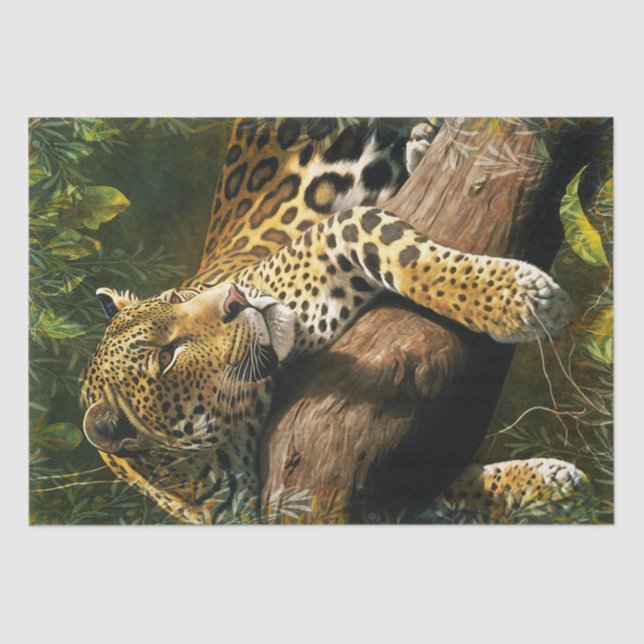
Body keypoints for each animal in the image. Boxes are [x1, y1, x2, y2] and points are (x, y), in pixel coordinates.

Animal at [79, 117, 590, 524]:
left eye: (178, 295)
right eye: (166, 356)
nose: (234, 298)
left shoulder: (337, 230)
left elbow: (402, 254)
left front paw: (520, 299)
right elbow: (433, 497)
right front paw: (545, 482)